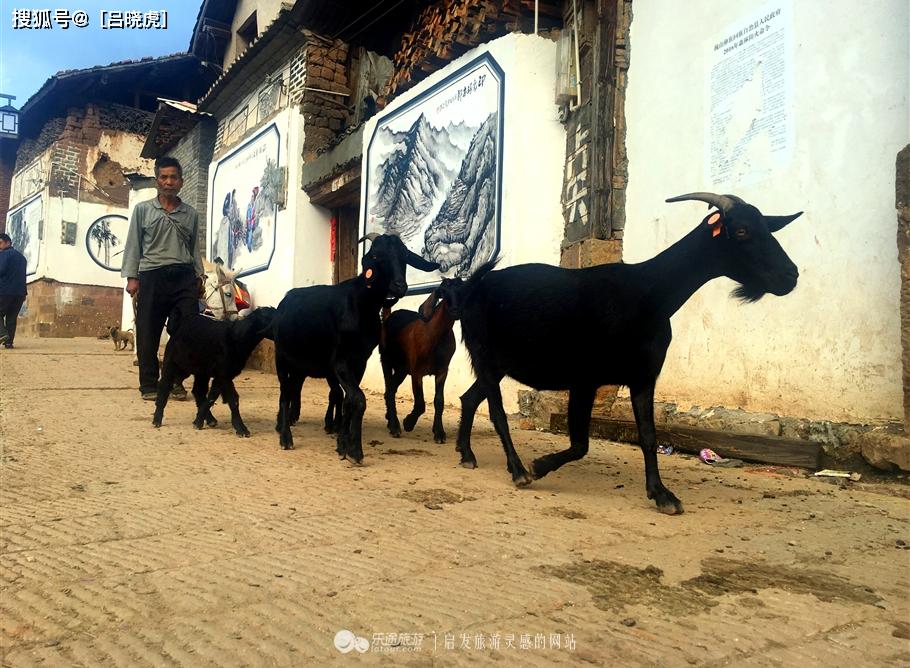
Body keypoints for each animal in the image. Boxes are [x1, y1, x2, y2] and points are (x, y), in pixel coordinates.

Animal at [153, 306, 276, 436]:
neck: (236, 338)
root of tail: (178, 325)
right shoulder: (224, 374)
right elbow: (232, 400)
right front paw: (241, 428)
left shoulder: (222, 375)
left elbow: (213, 397)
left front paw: (198, 421)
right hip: (172, 363)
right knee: (164, 385)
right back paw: (157, 419)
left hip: (200, 371)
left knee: (198, 391)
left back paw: (210, 419)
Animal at [272, 231, 440, 460]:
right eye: (377, 256)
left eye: (405, 256)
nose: (400, 286)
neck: (362, 304)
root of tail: (286, 300)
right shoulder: (340, 361)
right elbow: (358, 399)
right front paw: (355, 450)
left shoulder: (360, 361)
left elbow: (349, 401)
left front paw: (343, 444)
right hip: (281, 357)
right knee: (284, 392)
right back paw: (285, 437)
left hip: (300, 363)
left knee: (293, 388)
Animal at [456, 190, 804, 516]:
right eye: (742, 230)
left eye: (768, 228)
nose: (790, 276)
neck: (649, 294)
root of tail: (472, 287)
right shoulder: (585, 379)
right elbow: (580, 444)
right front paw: (538, 466)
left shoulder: (643, 376)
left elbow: (648, 436)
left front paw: (662, 494)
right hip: (483, 352)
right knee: (497, 412)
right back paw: (516, 469)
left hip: (499, 363)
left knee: (469, 398)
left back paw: (466, 453)